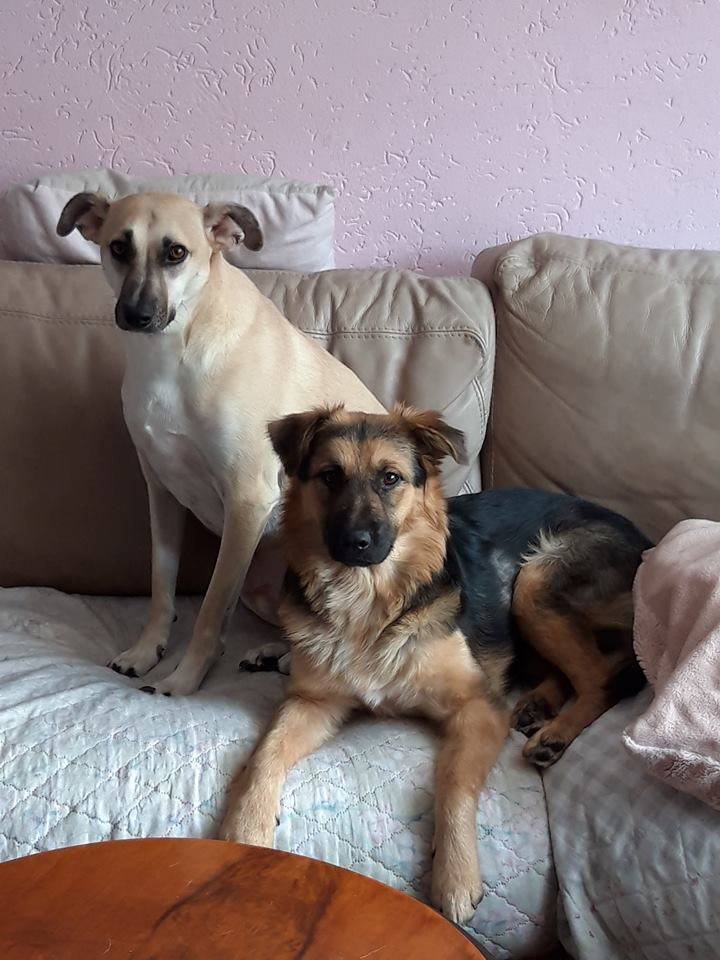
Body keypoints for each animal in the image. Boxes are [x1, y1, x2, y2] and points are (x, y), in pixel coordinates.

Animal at [56, 192, 384, 696]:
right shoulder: (162, 493)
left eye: (176, 252)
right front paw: (146, 651)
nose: (136, 315)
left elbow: (211, 607)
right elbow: (162, 586)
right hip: (260, 590)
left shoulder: (247, 501)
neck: (174, 353)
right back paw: (276, 654)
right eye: (118, 248)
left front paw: (184, 678)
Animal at [220, 404, 650, 924]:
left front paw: (456, 872)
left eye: (390, 478)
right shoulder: (312, 702)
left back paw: (555, 734)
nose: (355, 542)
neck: (368, 600)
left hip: (533, 580)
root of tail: (646, 541)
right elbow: (265, 753)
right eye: (330, 476)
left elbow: (455, 781)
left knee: (603, 678)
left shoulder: (477, 706)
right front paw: (246, 827)